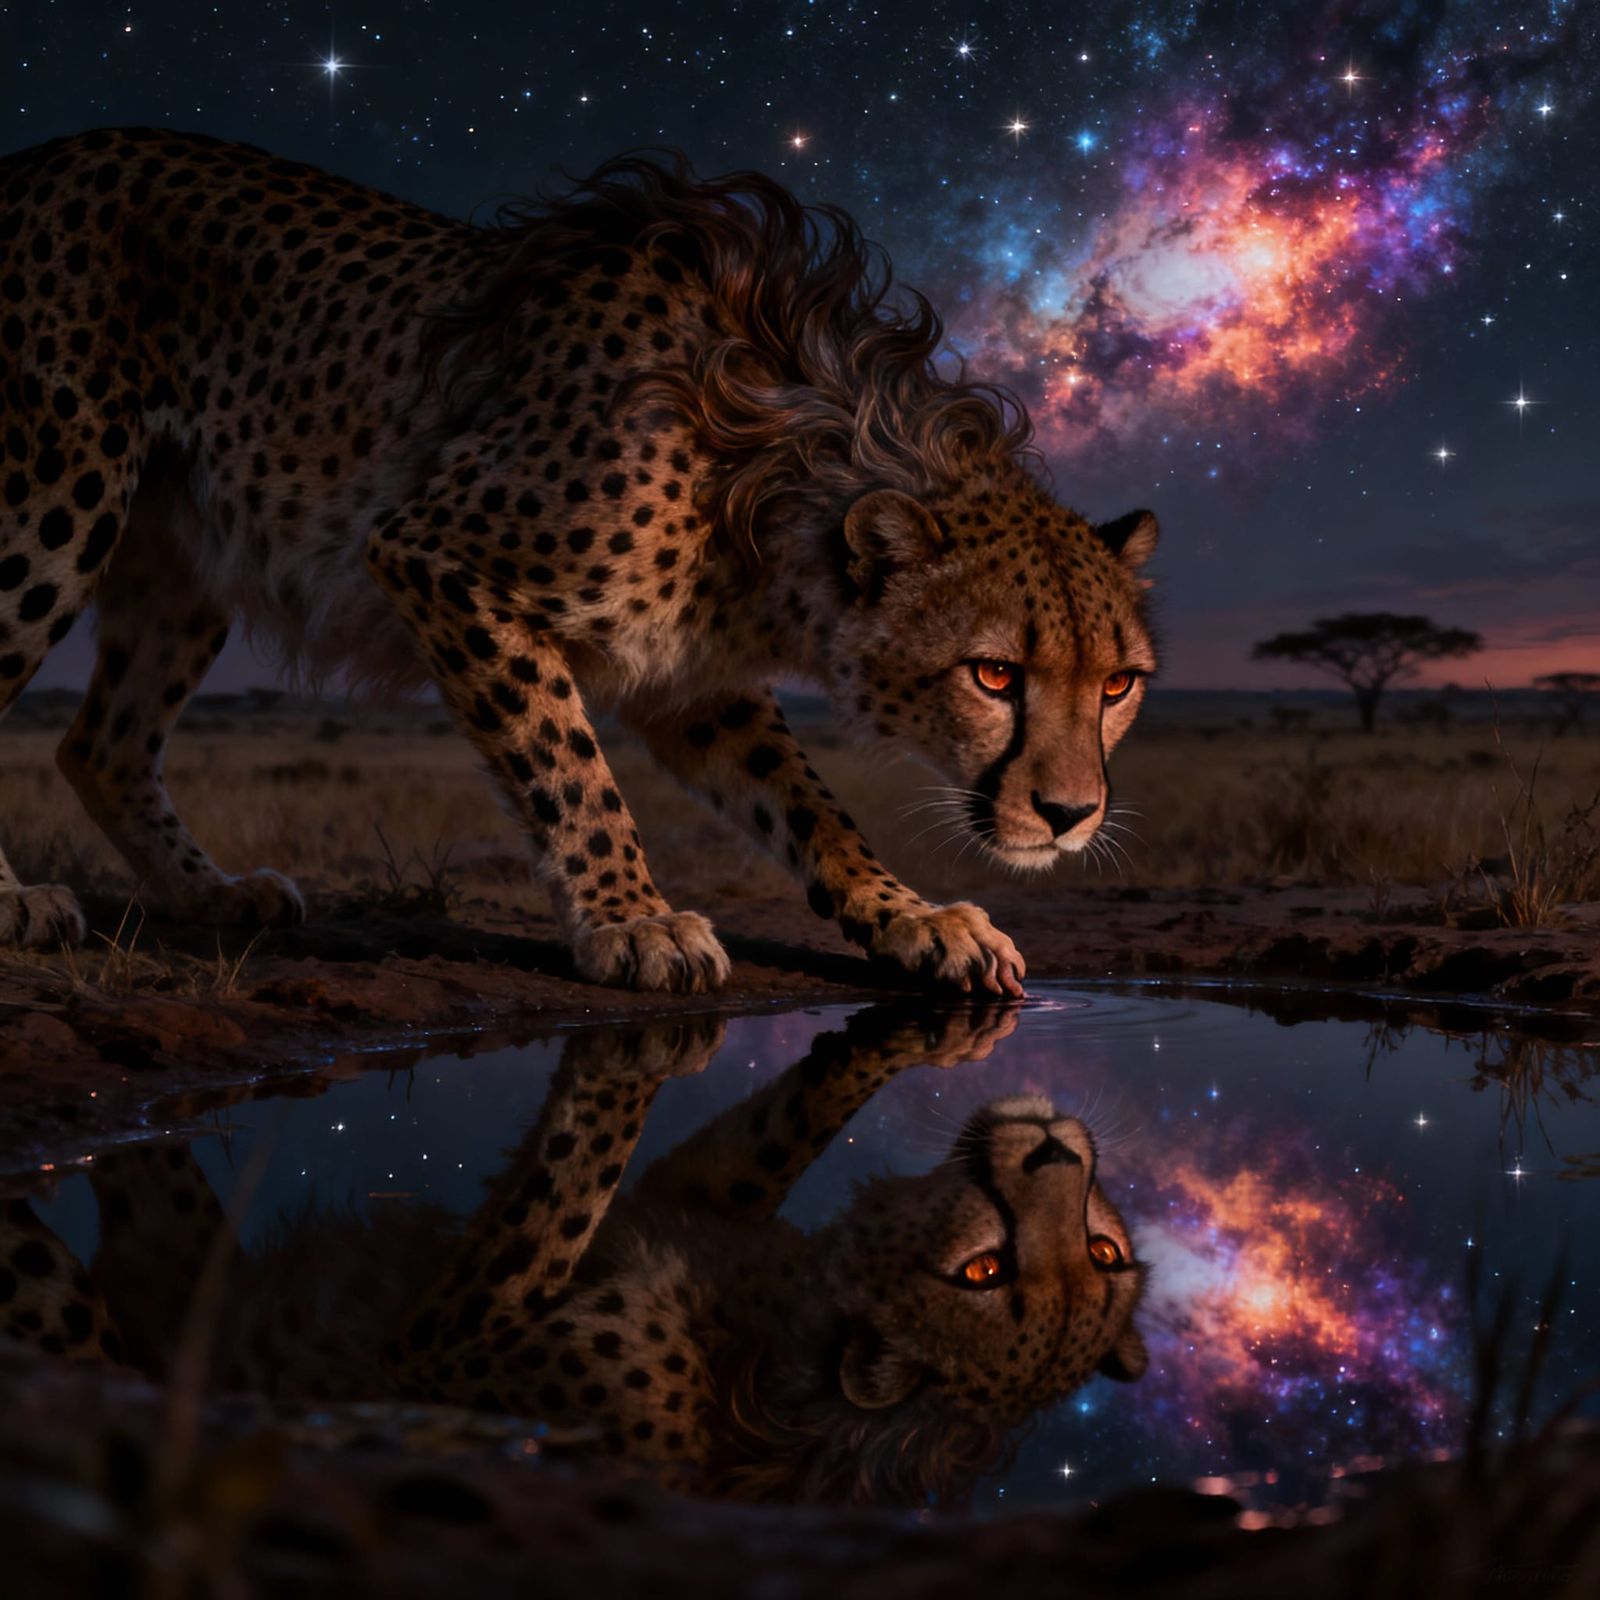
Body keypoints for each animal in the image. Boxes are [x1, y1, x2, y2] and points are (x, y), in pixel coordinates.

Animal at [0, 128, 1161, 994]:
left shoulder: (695, 679)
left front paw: (913, 919)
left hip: (183, 559)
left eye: (1117, 685)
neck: (778, 464)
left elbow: (806, 806)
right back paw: (18, 904)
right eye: (994, 674)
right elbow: (565, 761)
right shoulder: (436, 555)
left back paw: (210, 894)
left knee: (102, 745)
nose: (1070, 816)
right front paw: (632, 921)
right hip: (58, 495)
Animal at [0, 1002, 1148, 1507]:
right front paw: (929, 991)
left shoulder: (446, 1350)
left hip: (91, 1325)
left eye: (980, 1273)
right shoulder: (703, 1205)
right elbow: (765, 1122)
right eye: (1104, 1250)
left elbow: (559, 1188)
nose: (1056, 1145)